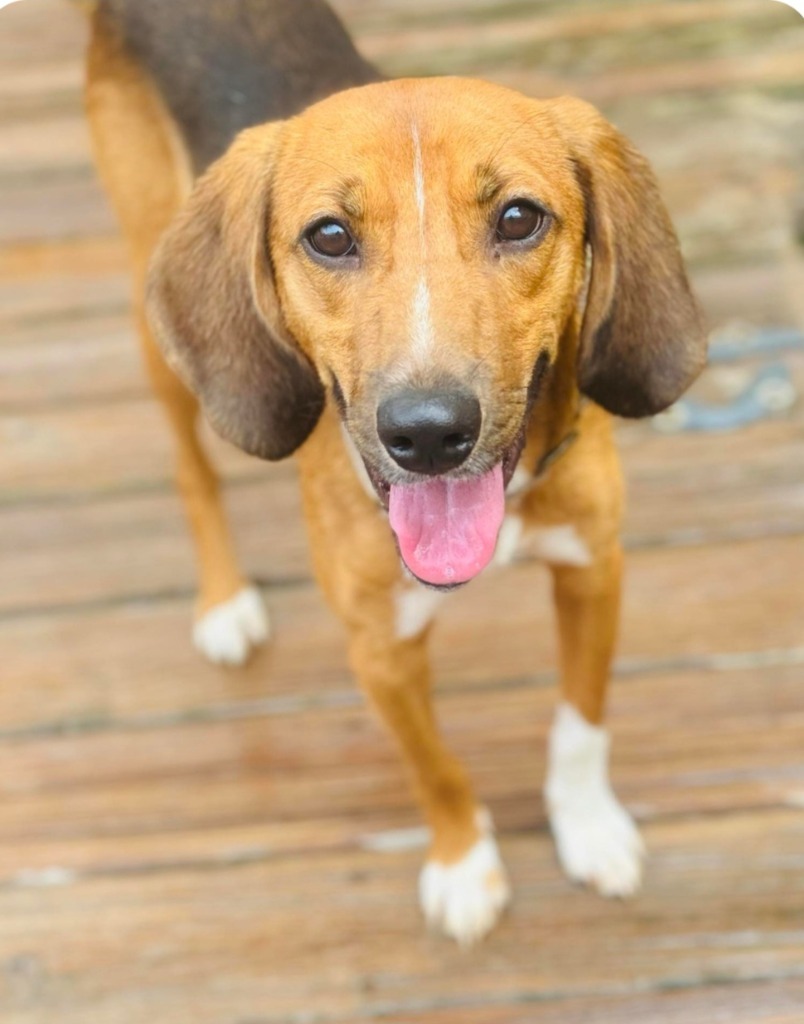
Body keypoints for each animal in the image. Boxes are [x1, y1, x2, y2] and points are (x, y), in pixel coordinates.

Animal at [82, 0, 704, 942]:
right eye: (330, 237)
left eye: (518, 218)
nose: (429, 432)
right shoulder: (380, 649)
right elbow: (435, 770)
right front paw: (464, 865)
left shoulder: (595, 568)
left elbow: (581, 723)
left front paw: (589, 826)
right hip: (156, 322)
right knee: (192, 468)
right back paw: (223, 599)